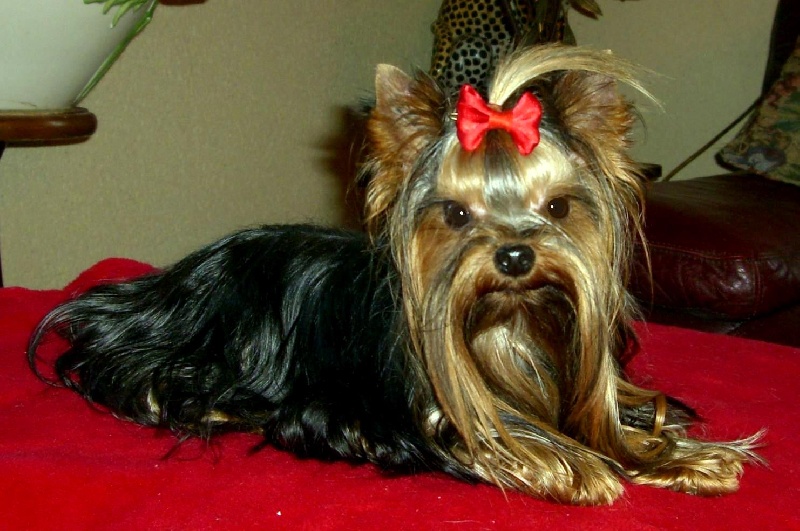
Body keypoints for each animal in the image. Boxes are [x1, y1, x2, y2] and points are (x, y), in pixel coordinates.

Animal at [28, 45, 761, 505]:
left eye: (557, 207)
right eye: (456, 213)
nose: (515, 256)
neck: (509, 322)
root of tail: (155, 285)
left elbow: (625, 424)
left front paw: (685, 455)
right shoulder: (404, 420)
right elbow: (494, 440)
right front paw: (573, 466)